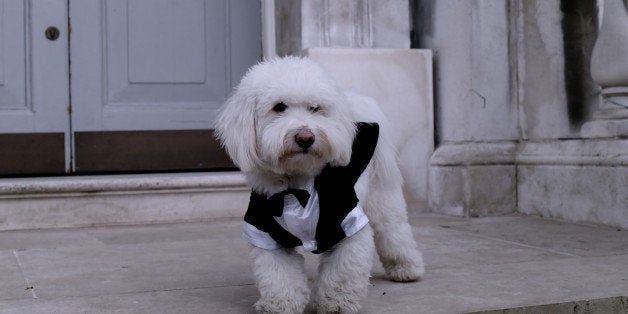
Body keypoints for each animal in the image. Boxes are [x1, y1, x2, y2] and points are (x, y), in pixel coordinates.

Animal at [215, 57, 422, 314]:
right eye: (279, 107)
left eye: (315, 108)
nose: (305, 137)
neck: (297, 185)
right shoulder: (264, 230)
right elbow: (279, 274)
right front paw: (281, 303)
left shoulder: (348, 219)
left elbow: (343, 270)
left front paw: (337, 303)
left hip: (382, 196)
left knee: (393, 229)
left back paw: (406, 267)